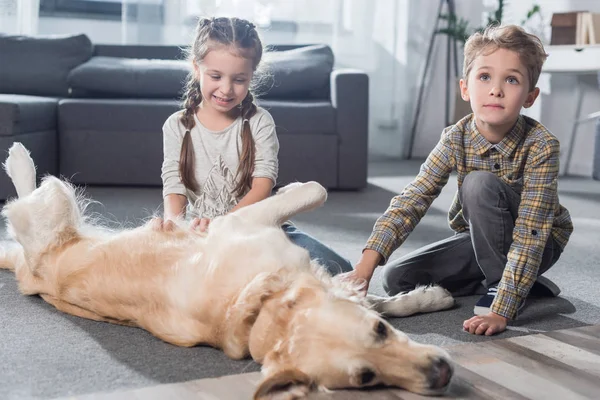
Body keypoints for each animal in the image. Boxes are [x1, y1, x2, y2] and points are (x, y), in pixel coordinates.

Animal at [1, 143, 454, 396]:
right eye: (365, 379)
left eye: (380, 334)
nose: (442, 373)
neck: (261, 304)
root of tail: (29, 273)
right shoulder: (246, 221)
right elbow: (316, 190)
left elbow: (371, 295)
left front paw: (427, 297)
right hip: (57, 200)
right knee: (23, 200)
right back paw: (19, 158)